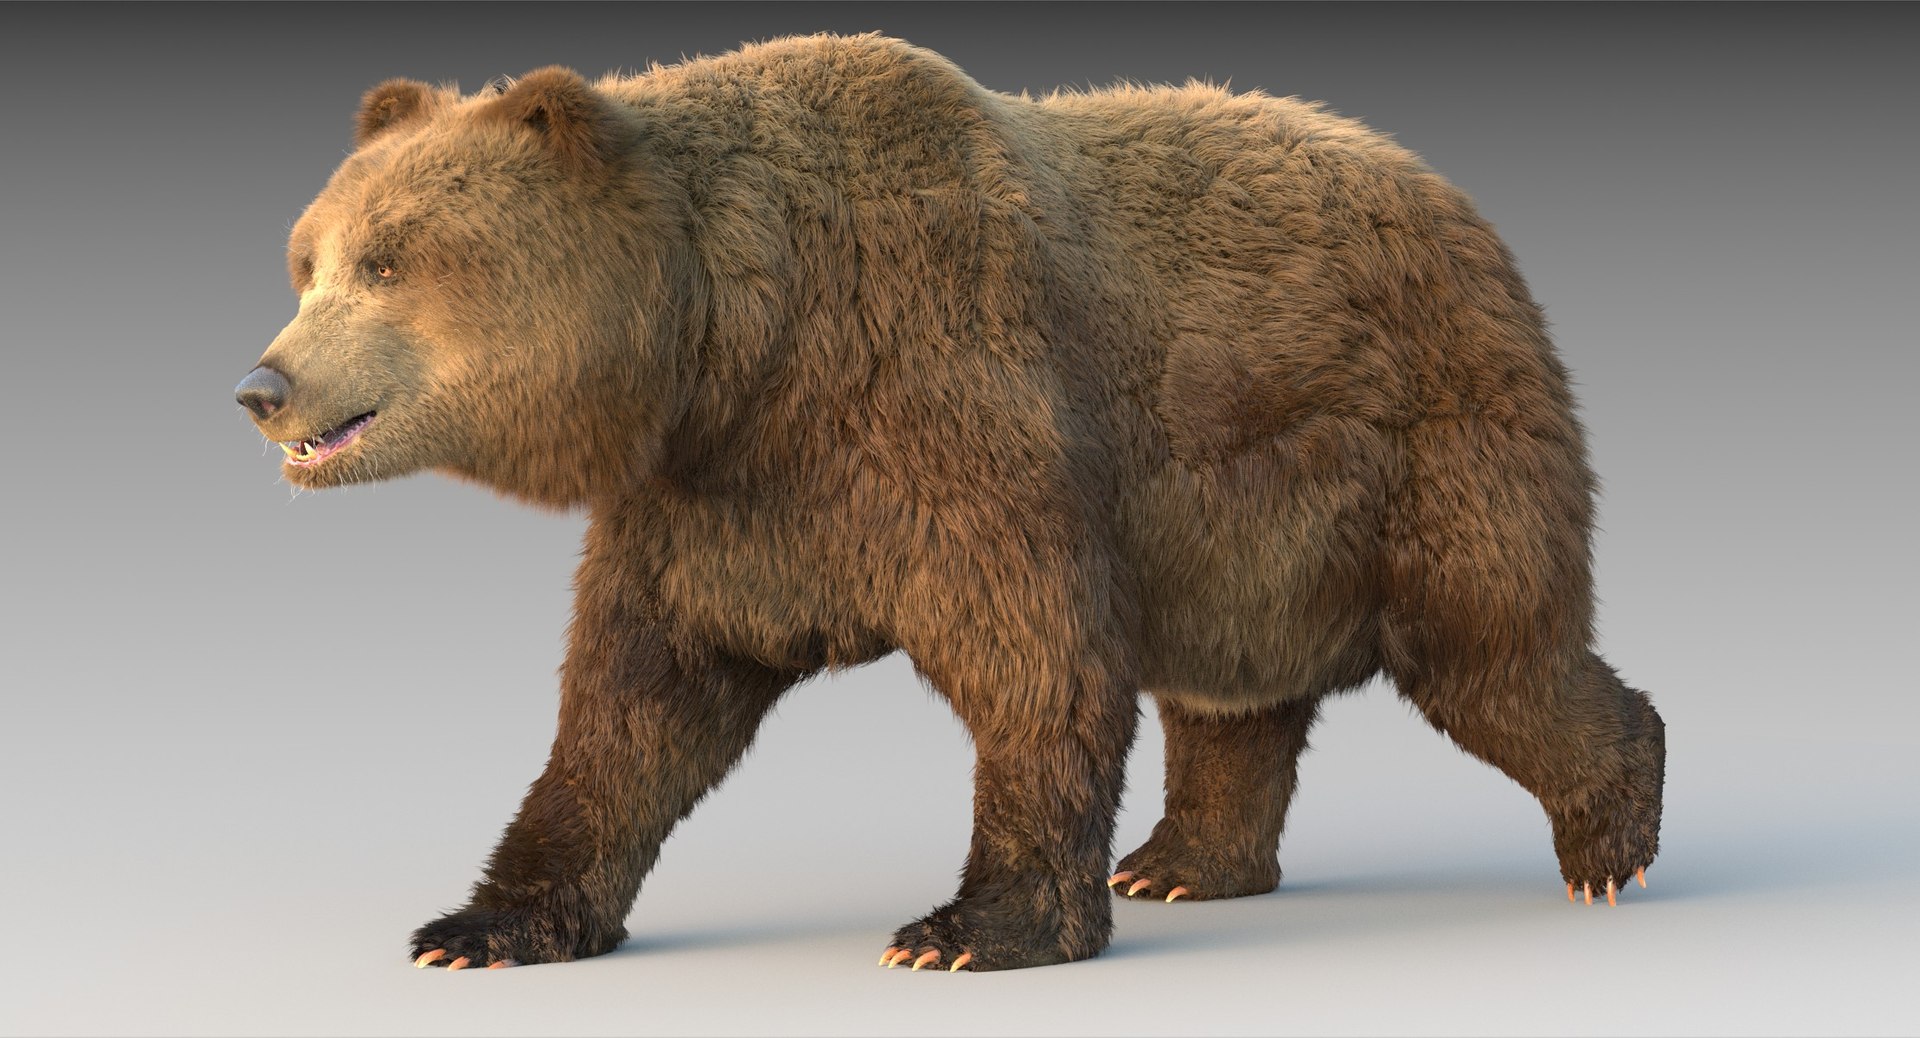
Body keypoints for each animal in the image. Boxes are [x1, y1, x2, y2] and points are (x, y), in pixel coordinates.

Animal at [235, 33, 1665, 973]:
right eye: (308, 257)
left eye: (388, 259)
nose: (264, 384)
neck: (742, 345)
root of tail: (1455, 201)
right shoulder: (721, 505)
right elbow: (635, 702)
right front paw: (480, 925)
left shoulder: (937, 408)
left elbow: (1035, 657)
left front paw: (969, 929)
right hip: (1240, 529)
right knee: (1234, 695)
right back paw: (1186, 863)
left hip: (1413, 437)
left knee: (1493, 651)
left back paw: (1610, 839)